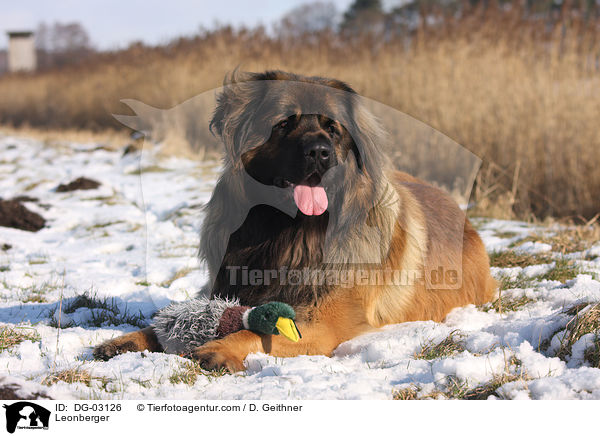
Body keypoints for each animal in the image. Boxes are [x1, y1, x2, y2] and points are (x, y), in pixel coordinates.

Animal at [95, 70, 496, 370]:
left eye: (332, 128)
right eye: (285, 123)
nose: (320, 153)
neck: (287, 234)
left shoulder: (323, 323)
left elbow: (258, 331)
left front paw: (219, 349)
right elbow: (166, 322)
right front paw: (128, 339)